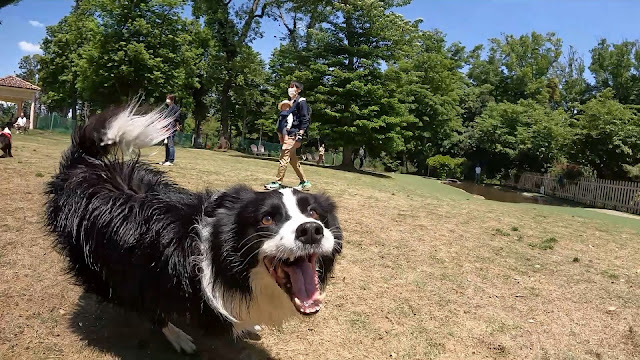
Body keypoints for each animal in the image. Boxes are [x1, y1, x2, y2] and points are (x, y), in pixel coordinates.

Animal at [44, 105, 342, 354]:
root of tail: (84, 165)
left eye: (314, 213)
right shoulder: (149, 274)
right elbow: (155, 309)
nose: (311, 230)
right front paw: (179, 335)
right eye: (267, 219)